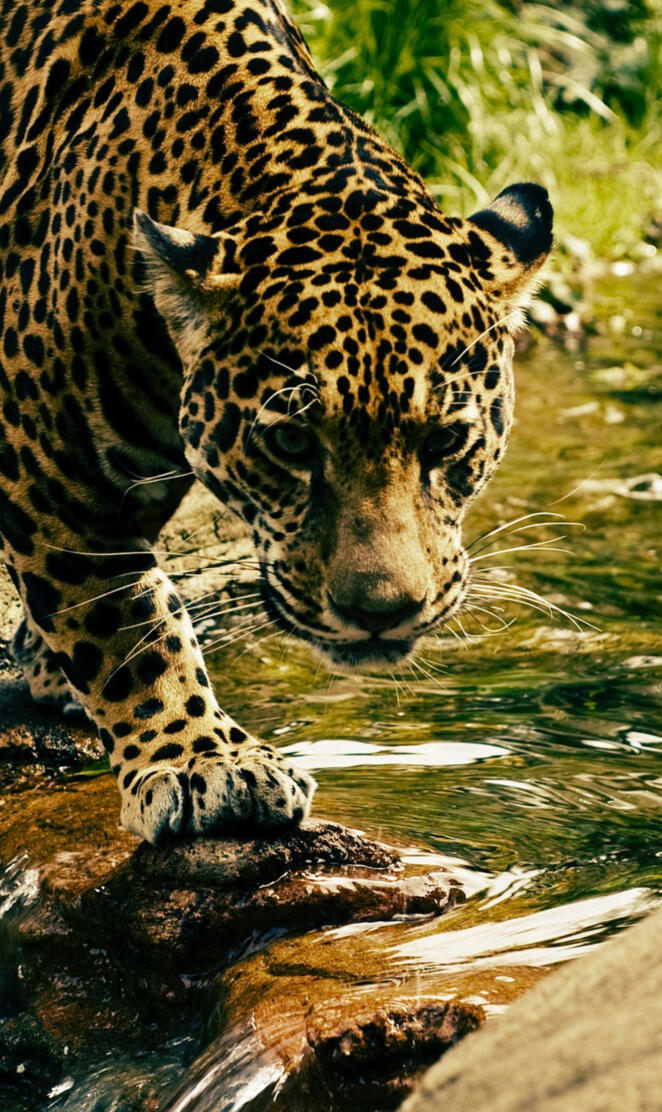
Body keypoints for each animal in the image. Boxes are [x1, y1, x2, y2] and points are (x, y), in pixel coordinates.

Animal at [0, 0, 553, 845]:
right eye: (292, 442)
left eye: (445, 441)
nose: (380, 615)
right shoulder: (52, 459)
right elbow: (128, 622)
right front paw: (201, 760)